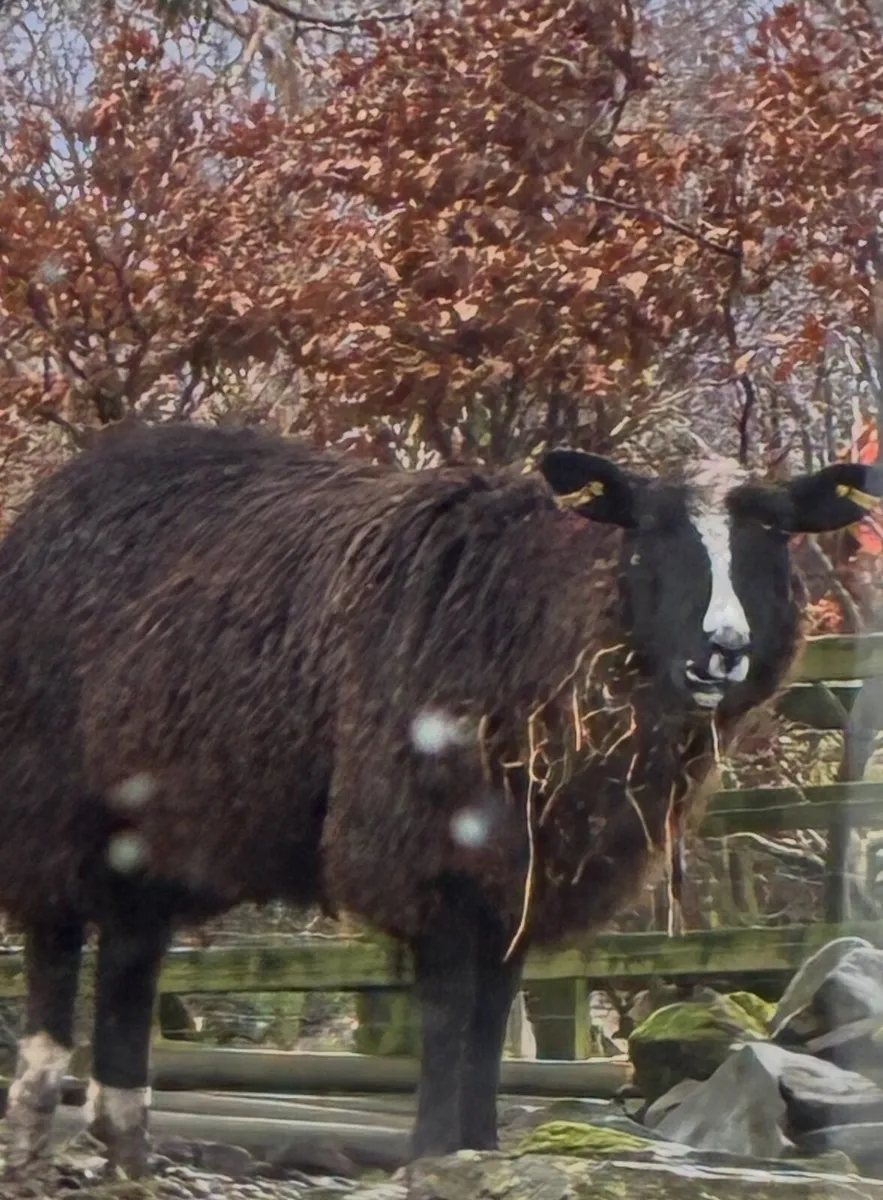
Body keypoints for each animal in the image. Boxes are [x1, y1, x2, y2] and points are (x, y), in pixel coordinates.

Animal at [0, 419, 878, 1175]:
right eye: (649, 532)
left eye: (775, 536)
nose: (720, 652)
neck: (547, 624)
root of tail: (67, 484)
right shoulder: (432, 850)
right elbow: (450, 1007)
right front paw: (429, 1151)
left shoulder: (522, 870)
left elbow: (492, 1012)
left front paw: (480, 1146)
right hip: (50, 796)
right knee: (56, 942)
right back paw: (39, 1123)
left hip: (149, 829)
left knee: (130, 948)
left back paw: (126, 1143)